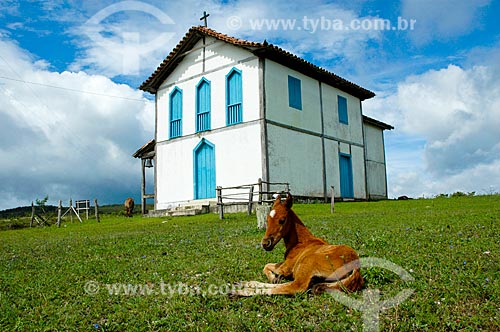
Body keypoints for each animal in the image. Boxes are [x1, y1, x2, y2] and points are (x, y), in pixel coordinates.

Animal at [234, 193, 364, 296]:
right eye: (267, 220)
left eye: (282, 220)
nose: (265, 244)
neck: (301, 242)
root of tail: (356, 267)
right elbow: (267, 266)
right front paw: (275, 278)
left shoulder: (285, 267)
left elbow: (267, 266)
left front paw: (274, 277)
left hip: (308, 263)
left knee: (295, 287)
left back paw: (241, 290)